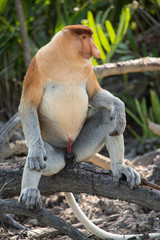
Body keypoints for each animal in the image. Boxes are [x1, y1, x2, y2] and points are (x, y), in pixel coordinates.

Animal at [18, 25, 159, 239]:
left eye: (91, 37)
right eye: (85, 37)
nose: (94, 48)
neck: (66, 59)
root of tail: (68, 154)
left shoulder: (88, 67)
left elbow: (94, 95)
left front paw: (119, 108)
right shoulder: (38, 63)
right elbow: (28, 105)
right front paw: (34, 153)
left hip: (80, 149)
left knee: (107, 118)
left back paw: (120, 168)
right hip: (54, 154)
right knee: (45, 159)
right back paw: (31, 189)